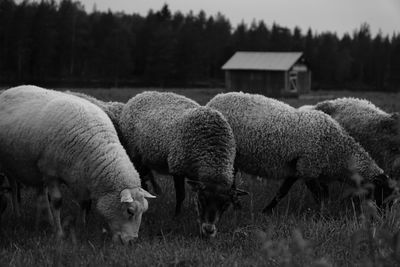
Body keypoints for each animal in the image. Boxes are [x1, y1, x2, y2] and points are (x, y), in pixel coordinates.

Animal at [0, 85, 155, 243]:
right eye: (130, 211)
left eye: (144, 211)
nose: (132, 241)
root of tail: (11, 89)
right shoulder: (51, 173)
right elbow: (57, 201)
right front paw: (59, 234)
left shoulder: (82, 176)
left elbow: (84, 202)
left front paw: (82, 225)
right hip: (8, 165)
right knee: (14, 187)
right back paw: (18, 214)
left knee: (40, 193)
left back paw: (47, 220)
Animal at [118, 91, 247, 239]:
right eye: (202, 199)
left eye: (225, 205)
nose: (209, 230)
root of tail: (141, 94)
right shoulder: (177, 167)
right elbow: (181, 195)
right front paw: (177, 217)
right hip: (134, 153)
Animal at [208, 92, 392, 214]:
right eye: (382, 192)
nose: (384, 218)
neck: (339, 153)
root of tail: (214, 100)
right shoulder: (308, 168)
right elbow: (320, 196)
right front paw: (323, 215)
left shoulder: (297, 170)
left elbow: (282, 193)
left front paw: (267, 211)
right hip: (227, 153)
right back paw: (236, 206)